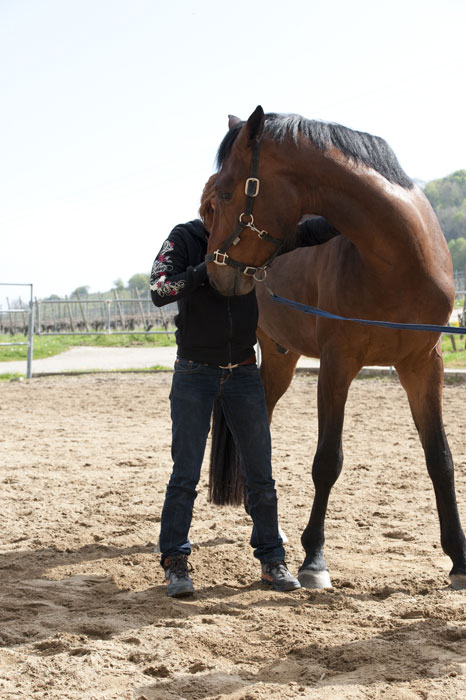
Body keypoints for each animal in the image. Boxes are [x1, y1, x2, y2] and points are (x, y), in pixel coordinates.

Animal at [207, 105, 466, 592]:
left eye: (227, 192)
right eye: (210, 201)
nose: (215, 273)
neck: (397, 261)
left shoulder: (423, 366)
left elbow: (440, 459)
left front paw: (459, 557)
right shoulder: (337, 364)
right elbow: (327, 460)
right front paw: (314, 559)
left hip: (283, 357)